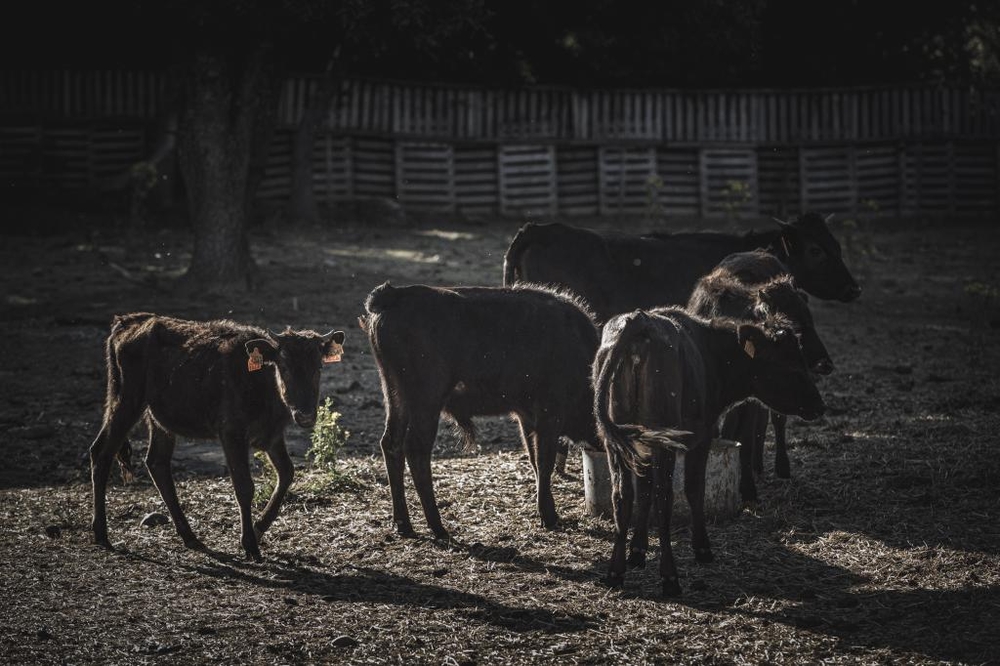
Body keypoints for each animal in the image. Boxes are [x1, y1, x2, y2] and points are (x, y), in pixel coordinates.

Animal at [91, 312, 348, 560]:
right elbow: (244, 486)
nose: (305, 415)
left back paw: (191, 537)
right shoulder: (232, 434)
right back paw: (101, 534)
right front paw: (250, 545)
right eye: (283, 366)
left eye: (319, 368)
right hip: (126, 401)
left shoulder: (272, 436)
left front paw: (258, 528)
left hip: (158, 419)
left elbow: (287, 473)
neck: (260, 380)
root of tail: (127, 321)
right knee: (102, 452)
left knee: (157, 462)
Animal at [358, 278, 596, 536]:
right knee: (416, 449)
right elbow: (544, 463)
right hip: (426, 401)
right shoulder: (548, 417)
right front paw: (549, 517)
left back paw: (404, 525)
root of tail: (393, 295)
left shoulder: (527, 417)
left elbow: (534, 460)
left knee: (391, 444)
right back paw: (438, 527)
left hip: (395, 397)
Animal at [592, 308, 820, 592]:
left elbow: (643, 492)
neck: (711, 355)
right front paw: (702, 548)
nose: (819, 404)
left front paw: (637, 552)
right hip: (664, 439)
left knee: (623, 496)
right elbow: (694, 489)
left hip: (617, 441)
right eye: (791, 365)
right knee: (663, 497)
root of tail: (638, 320)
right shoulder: (701, 438)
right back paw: (670, 577)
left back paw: (615, 572)